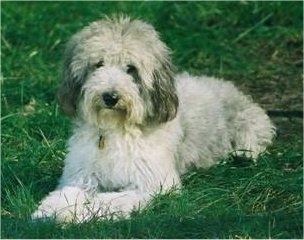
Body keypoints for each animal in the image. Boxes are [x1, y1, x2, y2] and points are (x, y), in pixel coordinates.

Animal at [31, 15, 276, 223]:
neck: (116, 129)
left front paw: (83, 214)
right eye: (98, 64)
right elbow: (67, 194)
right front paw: (51, 211)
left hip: (249, 124)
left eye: (131, 69)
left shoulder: (153, 184)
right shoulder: (81, 176)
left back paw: (243, 156)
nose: (110, 97)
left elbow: (112, 200)